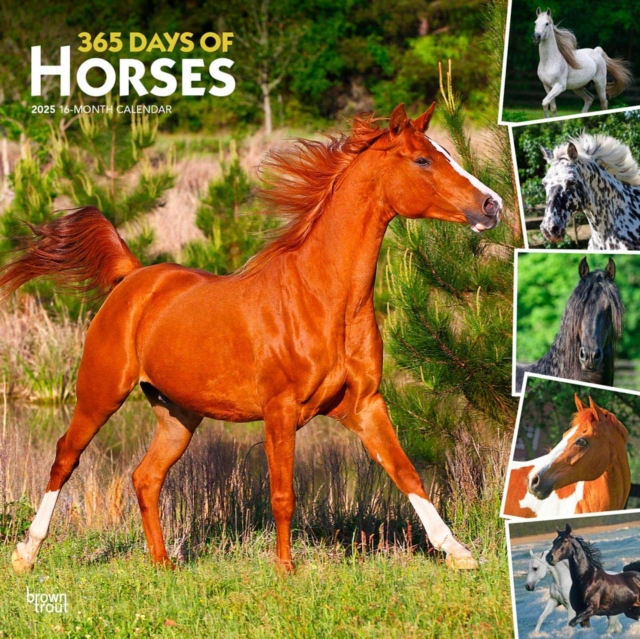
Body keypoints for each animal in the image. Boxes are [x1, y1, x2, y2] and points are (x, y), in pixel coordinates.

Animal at [5, 103, 503, 574]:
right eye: (423, 159)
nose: (492, 205)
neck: (323, 298)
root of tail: (133, 277)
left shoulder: (365, 405)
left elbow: (407, 473)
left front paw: (459, 554)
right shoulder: (280, 411)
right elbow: (283, 494)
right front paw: (285, 569)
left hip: (177, 414)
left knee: (146, 477)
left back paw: (163, 563)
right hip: (101, 393)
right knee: (65, 457)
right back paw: (26, 554)